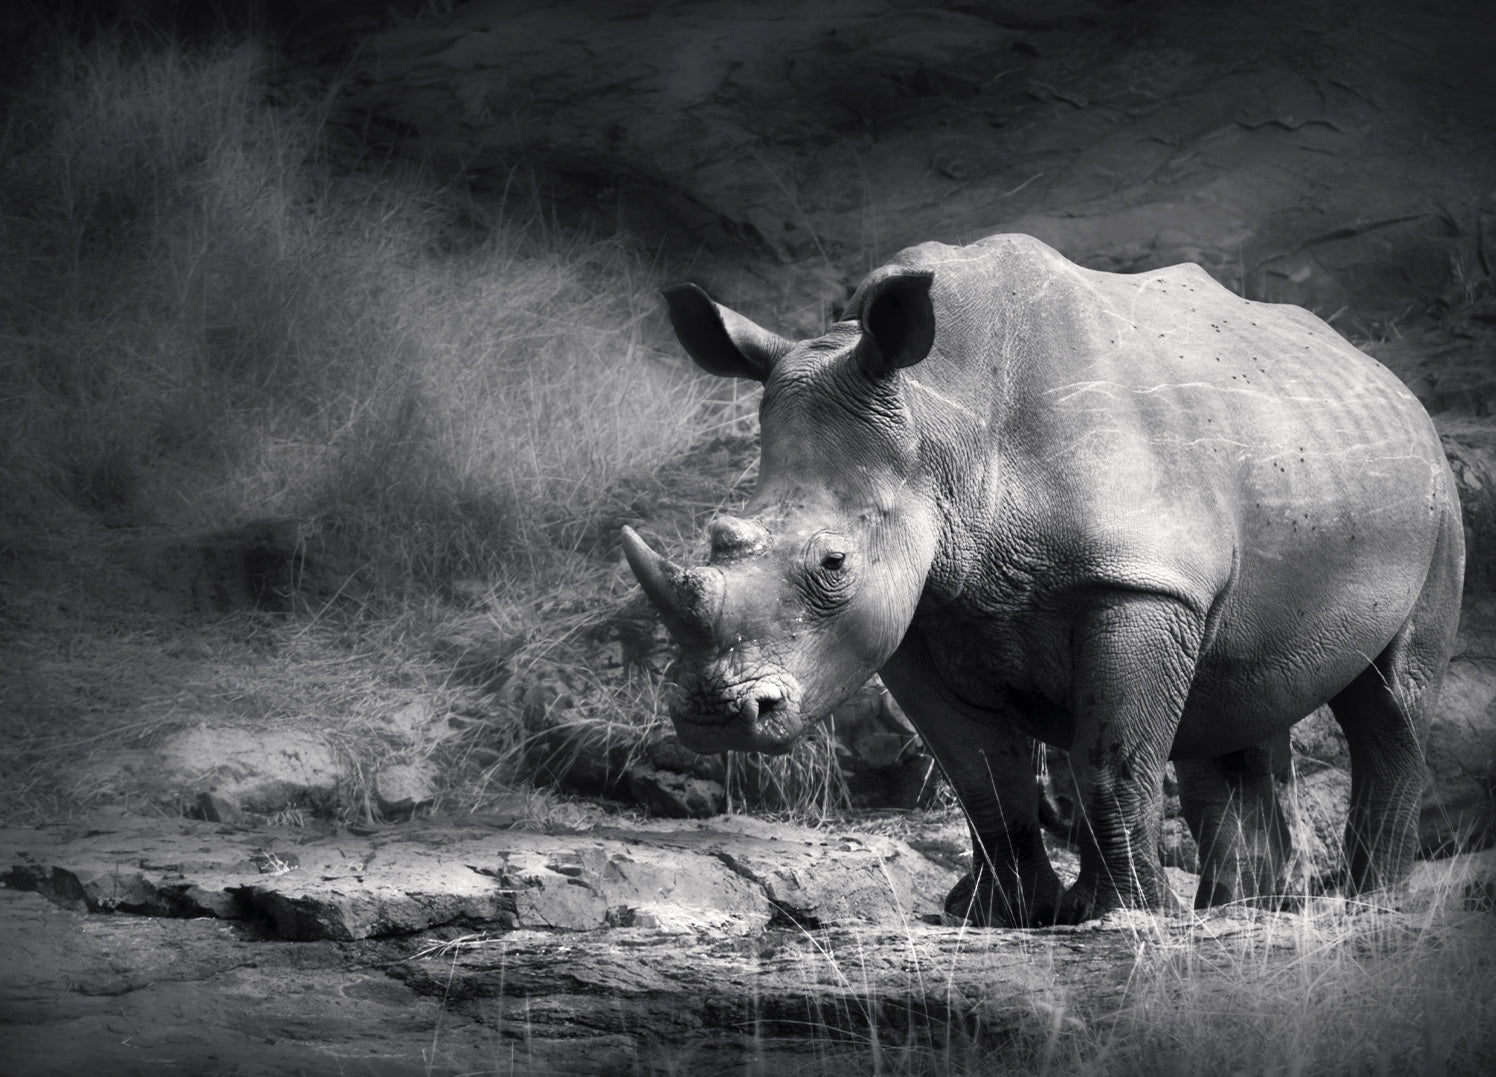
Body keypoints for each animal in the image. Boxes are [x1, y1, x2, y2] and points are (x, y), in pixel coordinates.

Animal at [622, 233, 1465, 927]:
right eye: (718, 536)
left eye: (834, 564)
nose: (714, 715)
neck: (940, 424)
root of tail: (1384, 375)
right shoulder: (920, 615)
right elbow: (983, 776)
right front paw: (1004, 916)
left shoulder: (1137, 580)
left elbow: (1110, 757)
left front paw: (1129, 917)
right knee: (1230, 703)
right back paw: (1244, 908)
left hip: (1434, 495)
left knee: (1388, 700)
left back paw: (1365, 901)